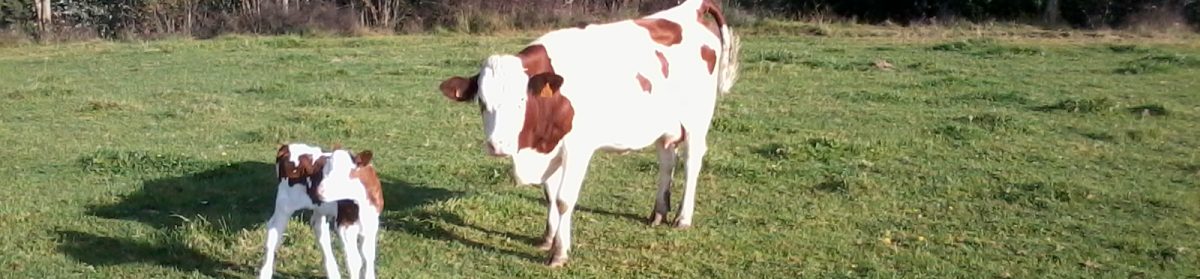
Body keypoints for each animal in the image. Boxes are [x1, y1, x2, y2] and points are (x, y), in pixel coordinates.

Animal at [260, 143, 381, 279]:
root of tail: (287, 147)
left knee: (320, 230)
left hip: (320, 209)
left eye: (344, 174)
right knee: (274, 231)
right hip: (285, 203)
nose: (318, 191)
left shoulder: (372, 223)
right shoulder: (344, 224)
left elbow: (368, 256)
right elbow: (354, 260)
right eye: (325, 171)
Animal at [439, 0, 734, 266]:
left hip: (697, 119)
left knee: (692, 163)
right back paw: (659, 212)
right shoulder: (552, 148)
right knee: (666, 162)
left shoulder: (577, 150)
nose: (497, 145)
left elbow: (563, 199)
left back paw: (683, 218)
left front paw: (559, 253)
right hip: (665, 125)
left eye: (521, 101)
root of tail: (690, 9)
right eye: (481, 101)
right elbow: (549, 194)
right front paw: (548, 238)